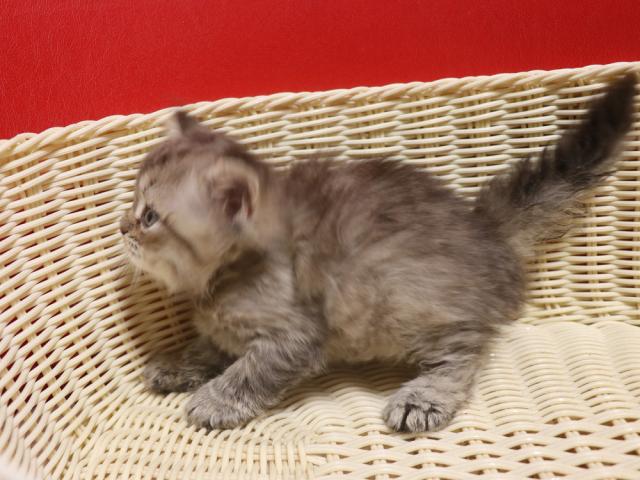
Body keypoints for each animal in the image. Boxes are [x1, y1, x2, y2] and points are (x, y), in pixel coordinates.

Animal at [120, 74, 636, 432]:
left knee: (466, 349)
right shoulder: (225, 325)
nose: (123, 227)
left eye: (150, 216)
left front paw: (215, 399)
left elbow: (249, 371)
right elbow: (208, 343)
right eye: (134, 205)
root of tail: (482, 228)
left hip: (407, 297)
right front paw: (176, 364)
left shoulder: (295, 336)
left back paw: (423, 396)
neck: (228, 276)